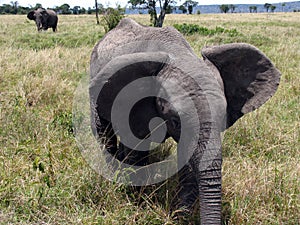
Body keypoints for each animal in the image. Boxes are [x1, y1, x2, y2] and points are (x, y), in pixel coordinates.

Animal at [88, 18, 280, 224]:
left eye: (223, 120)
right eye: (175, 121)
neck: (178, 55)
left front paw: (180, 215)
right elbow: (137, 147)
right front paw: (136, 201)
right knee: (106, 134)